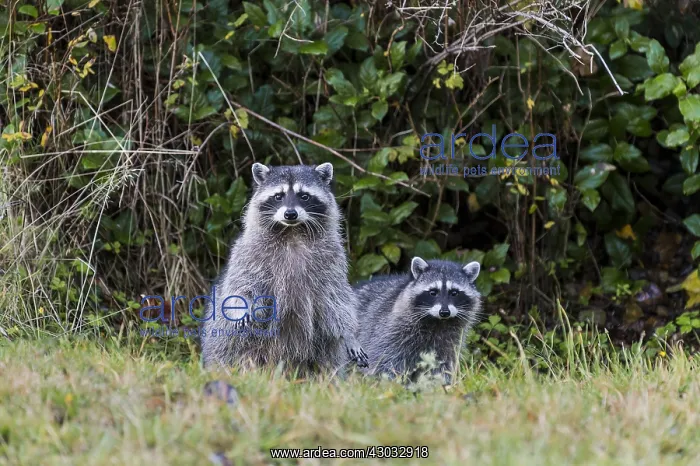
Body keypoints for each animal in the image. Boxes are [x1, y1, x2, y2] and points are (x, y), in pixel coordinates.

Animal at [201, 162, 368, 373]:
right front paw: (242, 307)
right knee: (233, 347)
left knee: (329, 352)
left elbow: (336, 298)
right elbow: (241, 285)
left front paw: (348, 334)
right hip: (226, 339)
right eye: (278, 196)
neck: (292, 231)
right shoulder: (248, 254)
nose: (290, 214)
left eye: (304, 196)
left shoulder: (333, 260)